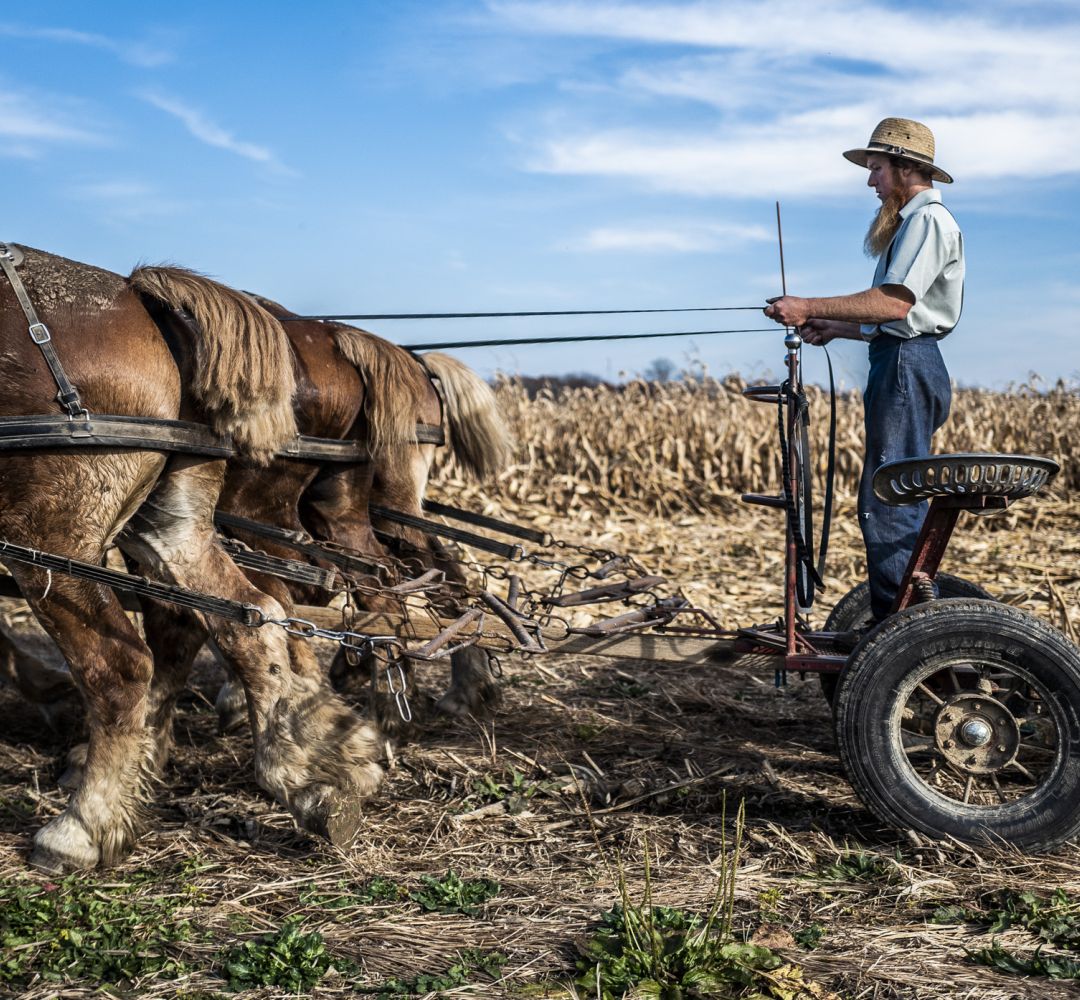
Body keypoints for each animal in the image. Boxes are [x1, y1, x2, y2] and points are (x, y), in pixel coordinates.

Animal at [0, 248, 384, 868]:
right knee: (255, 616)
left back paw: (81, 827)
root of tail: (137, 294)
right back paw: (304, 772)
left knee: (123, 663)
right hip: (172, 524)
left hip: (50, 537)